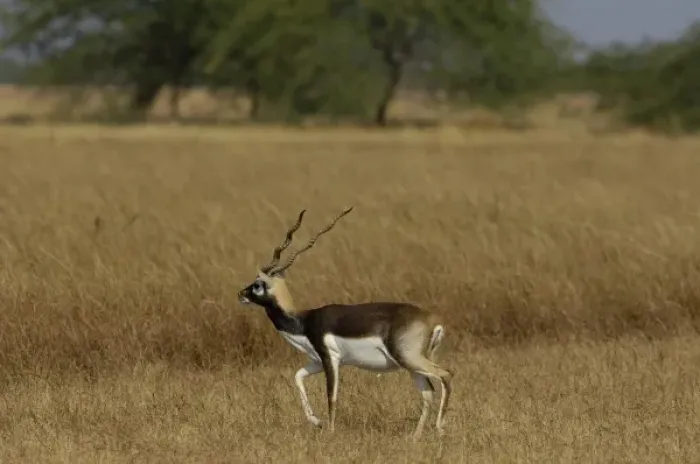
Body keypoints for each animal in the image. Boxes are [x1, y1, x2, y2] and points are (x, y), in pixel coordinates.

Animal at [237, 207, 453, 438]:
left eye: (257, 284)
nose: (241, 294)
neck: (304, 321)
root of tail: (433, 320)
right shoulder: (316, 361)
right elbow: (297, 377)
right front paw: (316, 421)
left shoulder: (330, 359)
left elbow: (331, 396)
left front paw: (330, 432)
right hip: (412, 364)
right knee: (428, 392)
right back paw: (415, 437)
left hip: (408, 358)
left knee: (446, 375)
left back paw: (440, 427)